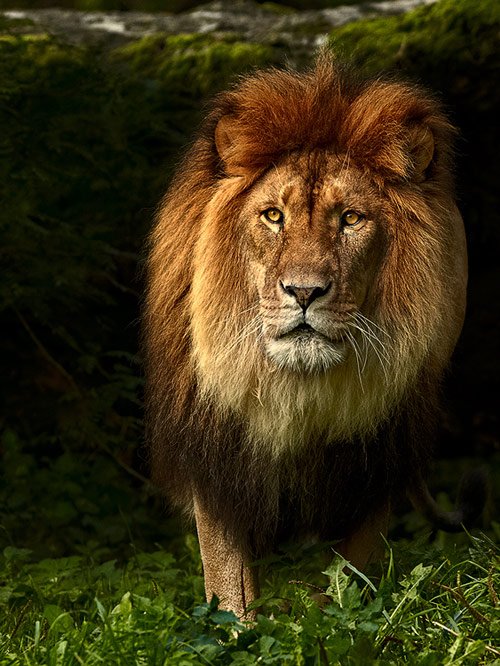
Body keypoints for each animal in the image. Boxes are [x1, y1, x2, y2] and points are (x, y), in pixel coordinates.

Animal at [143, 55, 485, 618]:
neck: (298, 390)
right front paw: (239, 625)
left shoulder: (376, 461)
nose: (304, 292)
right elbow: (228, 584)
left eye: (351, 219)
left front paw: (333, 616)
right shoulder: (219, 460)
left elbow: (348, 572)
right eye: (272, 216)